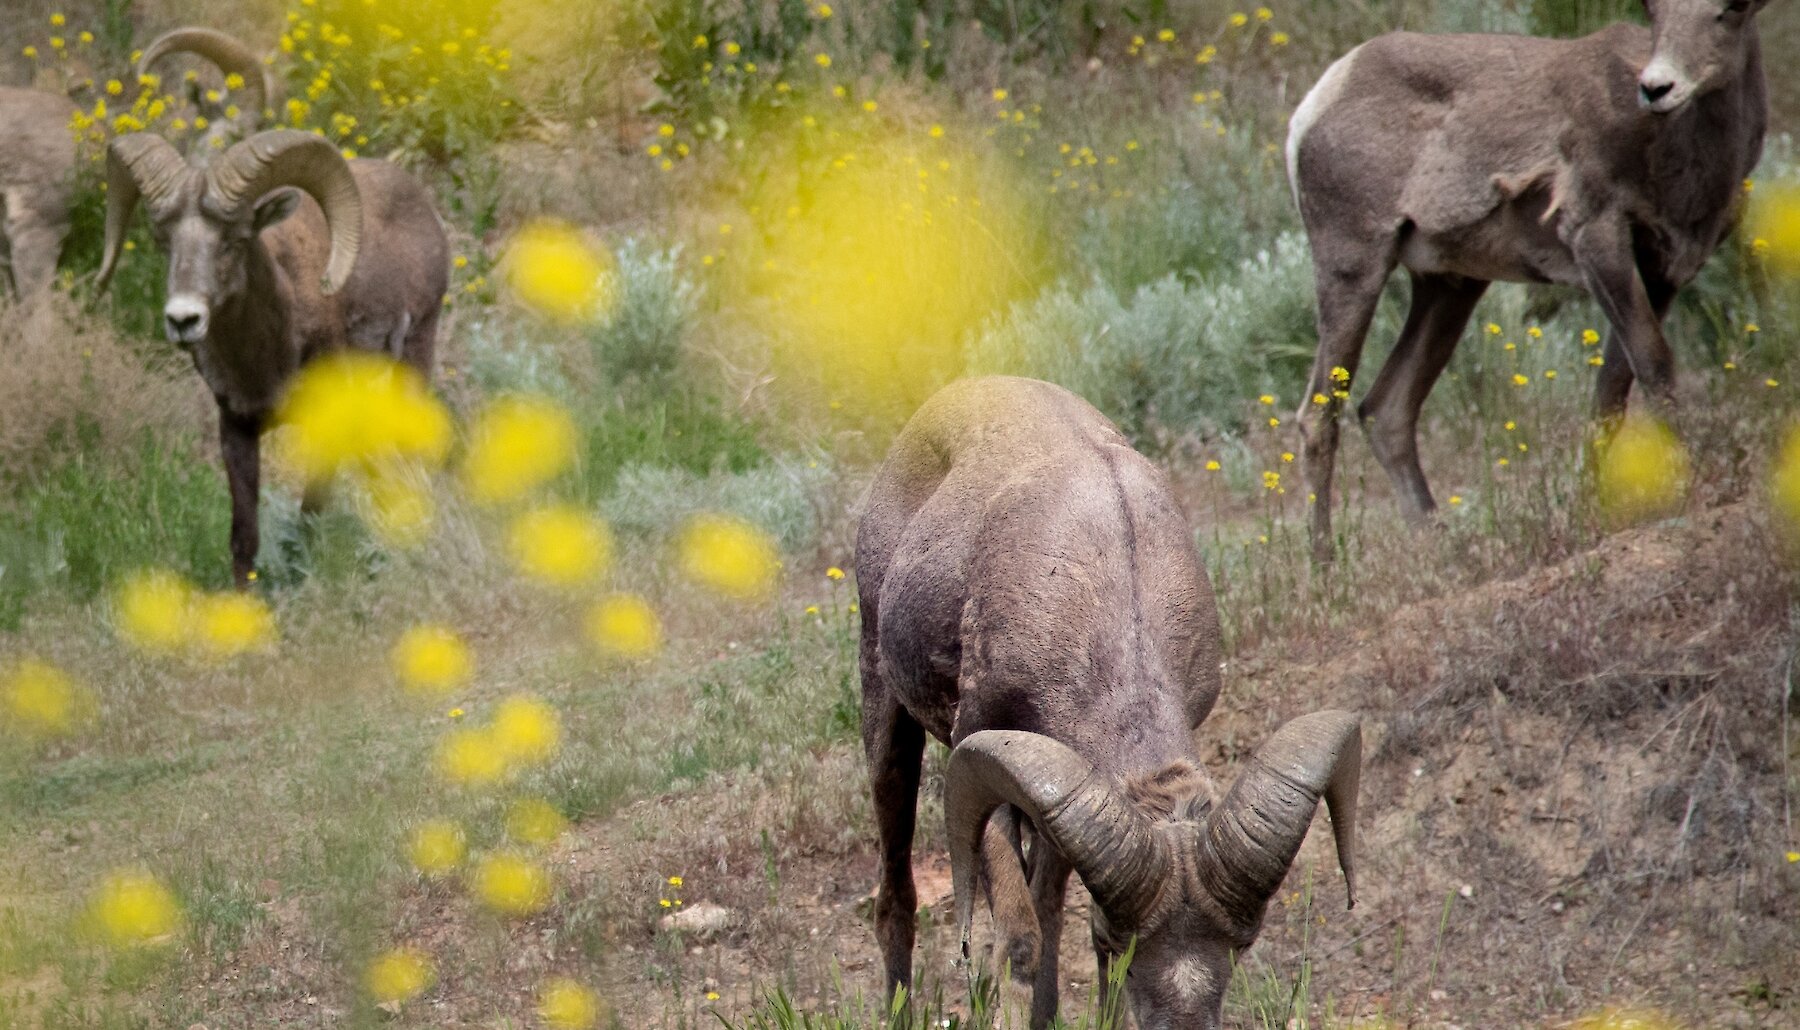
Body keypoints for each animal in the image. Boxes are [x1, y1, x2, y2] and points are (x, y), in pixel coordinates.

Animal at [98, 126, 450, 587]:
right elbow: (244, 538)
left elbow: (308, 519)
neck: (265, 359)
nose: (183, 319)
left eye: (234, 240)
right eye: (164, 242)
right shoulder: (237, 428)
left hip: (416, 354)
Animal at [856, 378, 1360, 1030]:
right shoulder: (980, 752)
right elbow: (1019, 938)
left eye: (1241, 943)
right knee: (898, 898)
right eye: (1116, 940)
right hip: (886, 716)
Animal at [1288, 0, 1778, 561]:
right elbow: (1654, 369)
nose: (1658, 88)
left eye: (1730, 11)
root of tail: (1321, 98)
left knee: (1386, 410)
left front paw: (1589, 511)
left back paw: (1446, 549)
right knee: (1319, 417)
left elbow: (1612, 391)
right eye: (1654, 11)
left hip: (1449, 286)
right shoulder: (1599, 242)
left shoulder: (1660, 276)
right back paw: (1324, 566)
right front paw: (1690, 488)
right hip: (1353, 270)